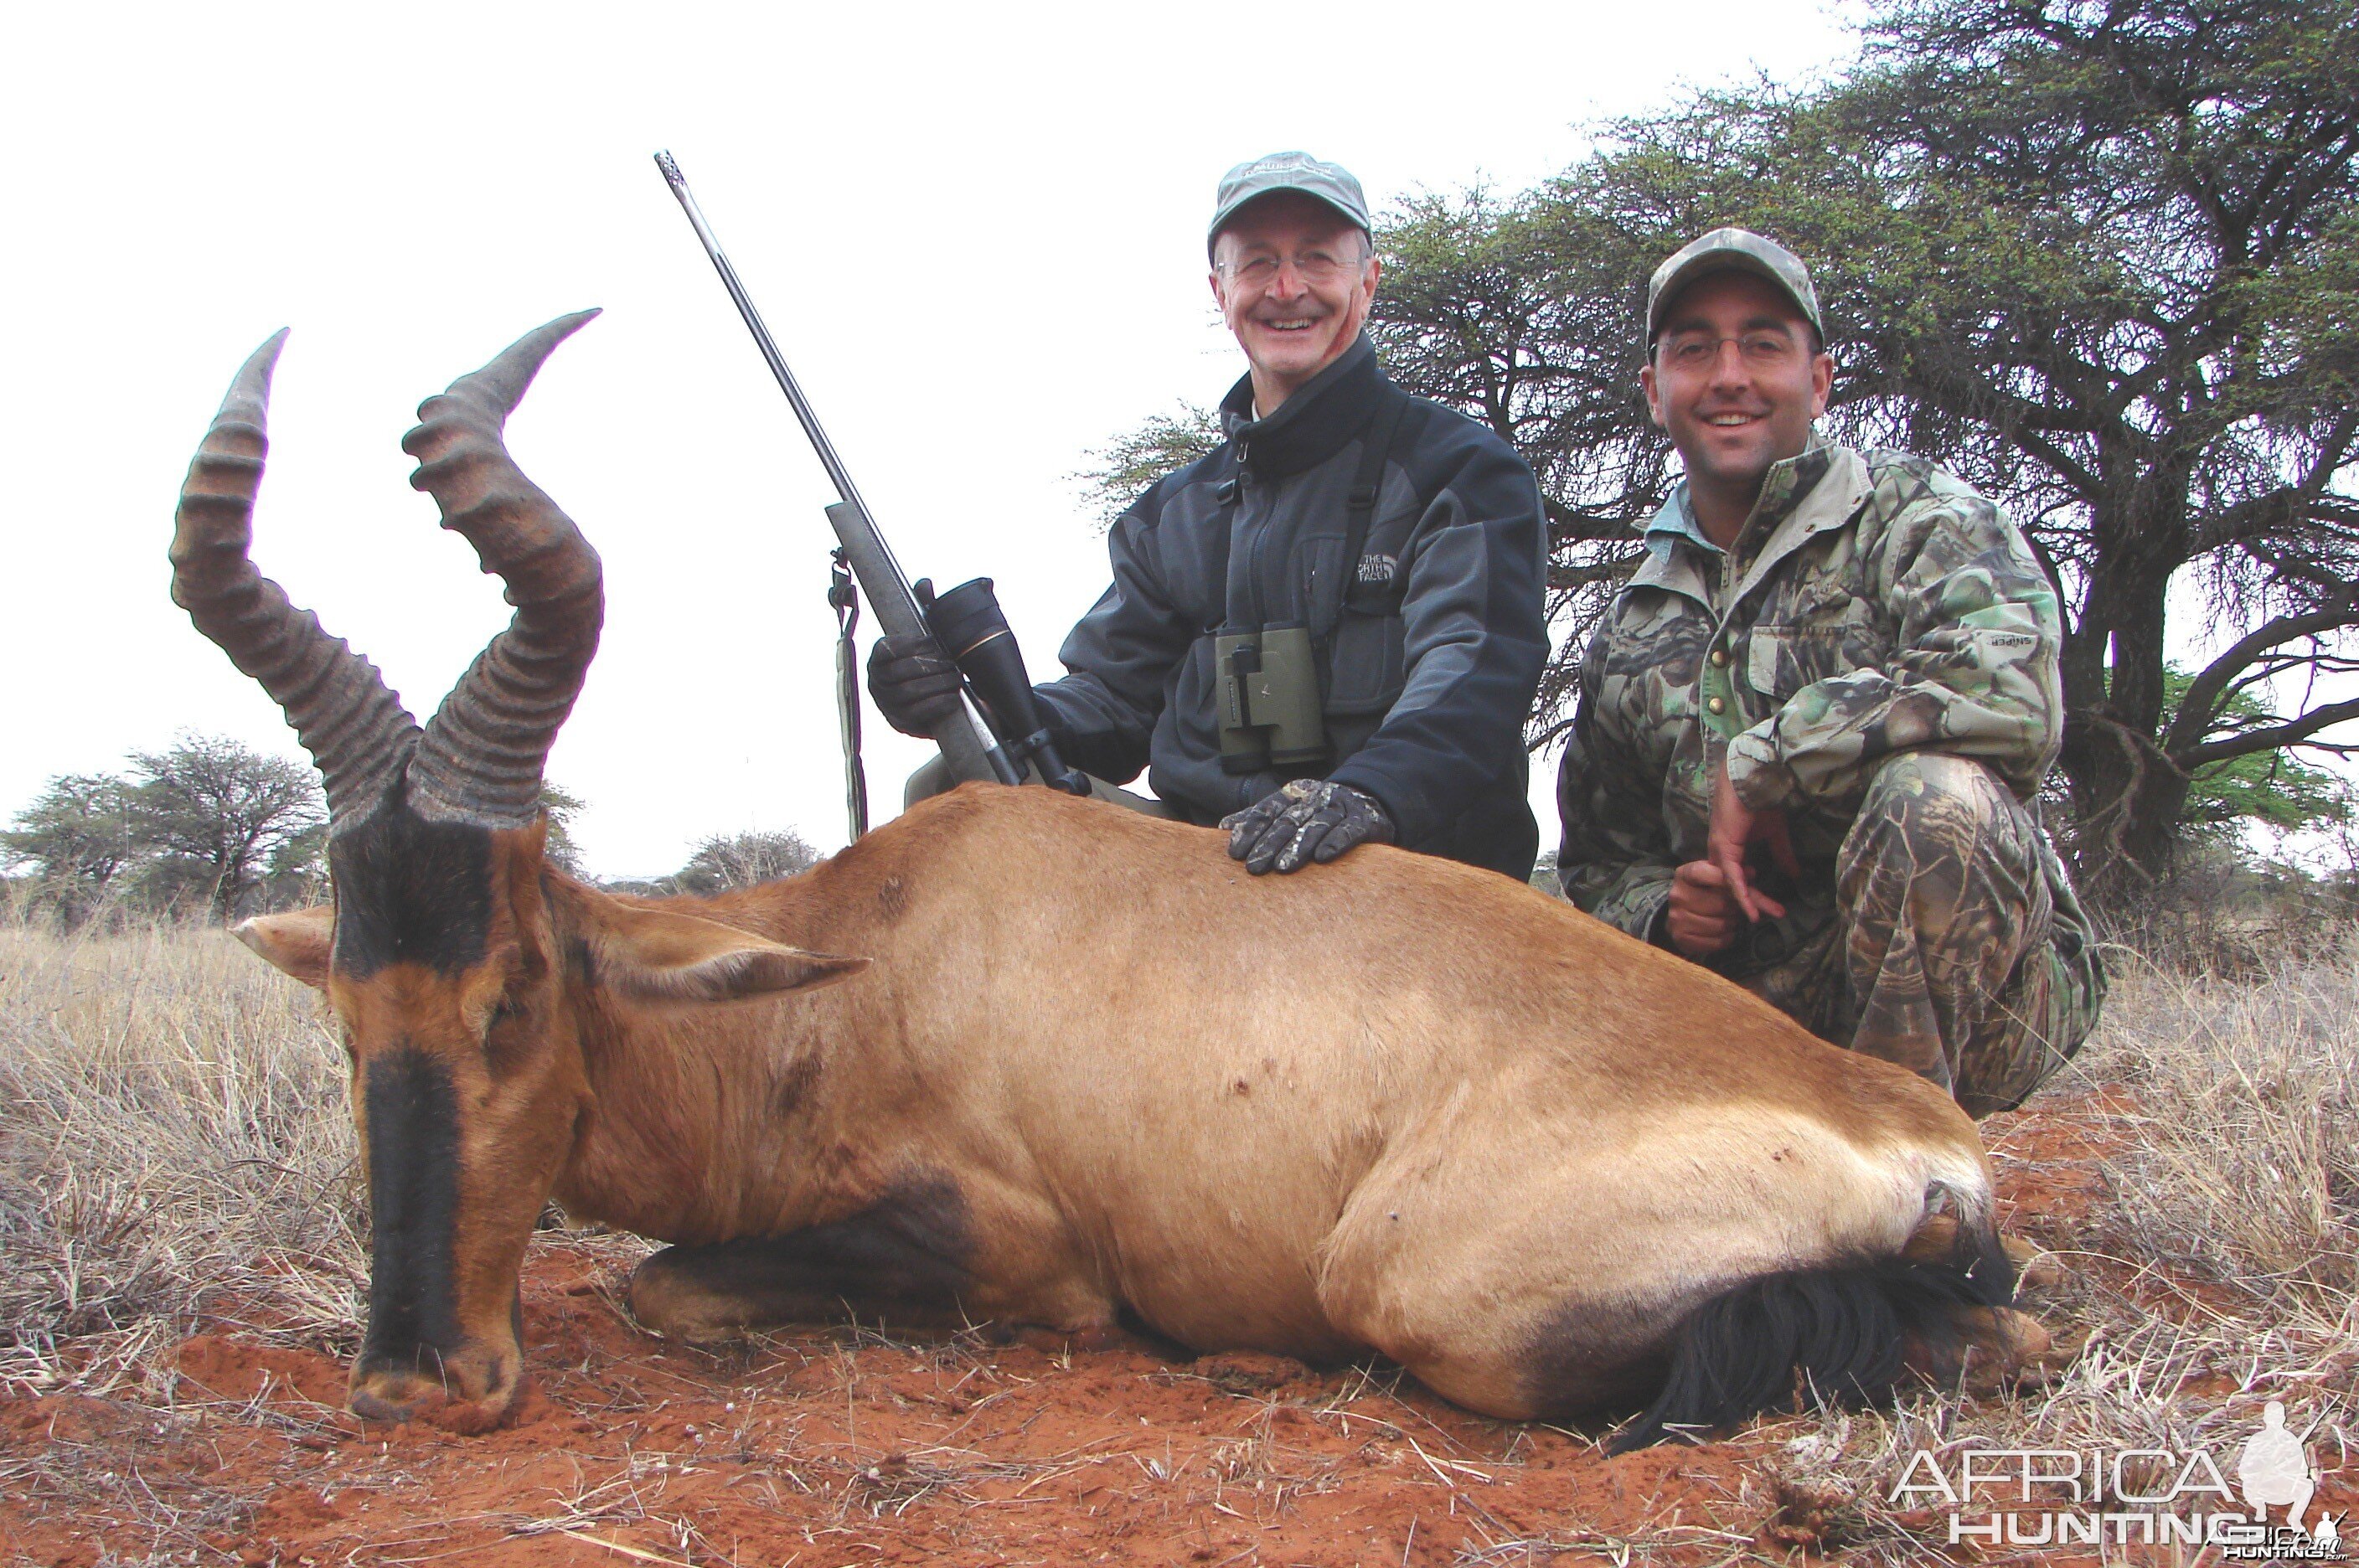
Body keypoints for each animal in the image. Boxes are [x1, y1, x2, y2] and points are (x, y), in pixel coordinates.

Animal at [174, 316, 2038, 1442]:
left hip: (1425, 1285)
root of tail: (1910, 1126)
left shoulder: (1016, 1250)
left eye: (516, 990)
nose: (416, 1381)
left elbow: (664, 1279)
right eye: (348, 1013)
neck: (865, 955)